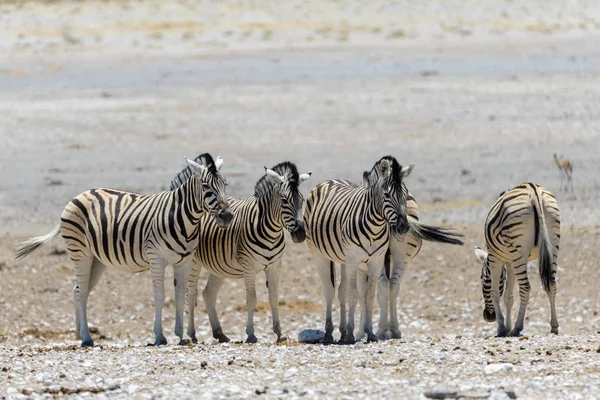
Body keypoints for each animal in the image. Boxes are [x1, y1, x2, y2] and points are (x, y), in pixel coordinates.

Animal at [13, 153, 234, 346]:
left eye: (225, 185)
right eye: (205, 186)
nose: (227, 216)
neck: (184, 220)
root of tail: (80, 194)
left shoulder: (184, 261)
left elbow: (180, 296)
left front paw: (181, 336)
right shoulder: (156, 258)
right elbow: (160, 296)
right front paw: (160, 336)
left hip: (97, 260)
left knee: (77, 291)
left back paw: (79, 334)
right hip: (80, 253)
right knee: (82, 292)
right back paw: (87, 338)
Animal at [169, 159, 310, 344]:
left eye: (302, 200)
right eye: (284, 200)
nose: (300, 234)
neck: (270, 231)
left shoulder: (275, 267)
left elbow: (274, 298)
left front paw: (280, 333)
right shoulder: (248, 268)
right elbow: (251, 299)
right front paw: (251, 334)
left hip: (219, 265)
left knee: (208, 293)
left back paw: (219, 333)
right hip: (193, 262)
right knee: (191, 294)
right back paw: (192, 334)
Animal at [304, 156, 412, 344]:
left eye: (405, 195)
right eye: (387, 195)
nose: (403, 228)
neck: (375, 226)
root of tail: (331, 180)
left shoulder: (376, 262)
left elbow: (368, 296)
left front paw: (369, 333)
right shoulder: (354, 261)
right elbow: (353, 296)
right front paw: (350, 334)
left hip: (342, 259)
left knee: (341, 291)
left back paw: (340, 333)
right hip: (319, 255)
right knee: (329, 291)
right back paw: (329, 334)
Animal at [356, 157, 464, 340]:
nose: (402, 225)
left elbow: (366, 291)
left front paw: (361, 332)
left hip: (384, 255)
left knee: (384, 285)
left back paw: (382, 329)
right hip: (403, 257)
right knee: (393, 285)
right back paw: (393, 329)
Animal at [474, 183, 564, 336]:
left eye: (482, 278)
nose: (488, 317)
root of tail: (533, 190)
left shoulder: (495, 258)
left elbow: (494, 292)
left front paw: (502, 328)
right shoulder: (510, 263)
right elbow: (508, 297)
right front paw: (507, 326)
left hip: (518, 250)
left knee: (525, 288)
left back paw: (517, 328)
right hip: (552, 244)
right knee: (551, 284)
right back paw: (554, 326)